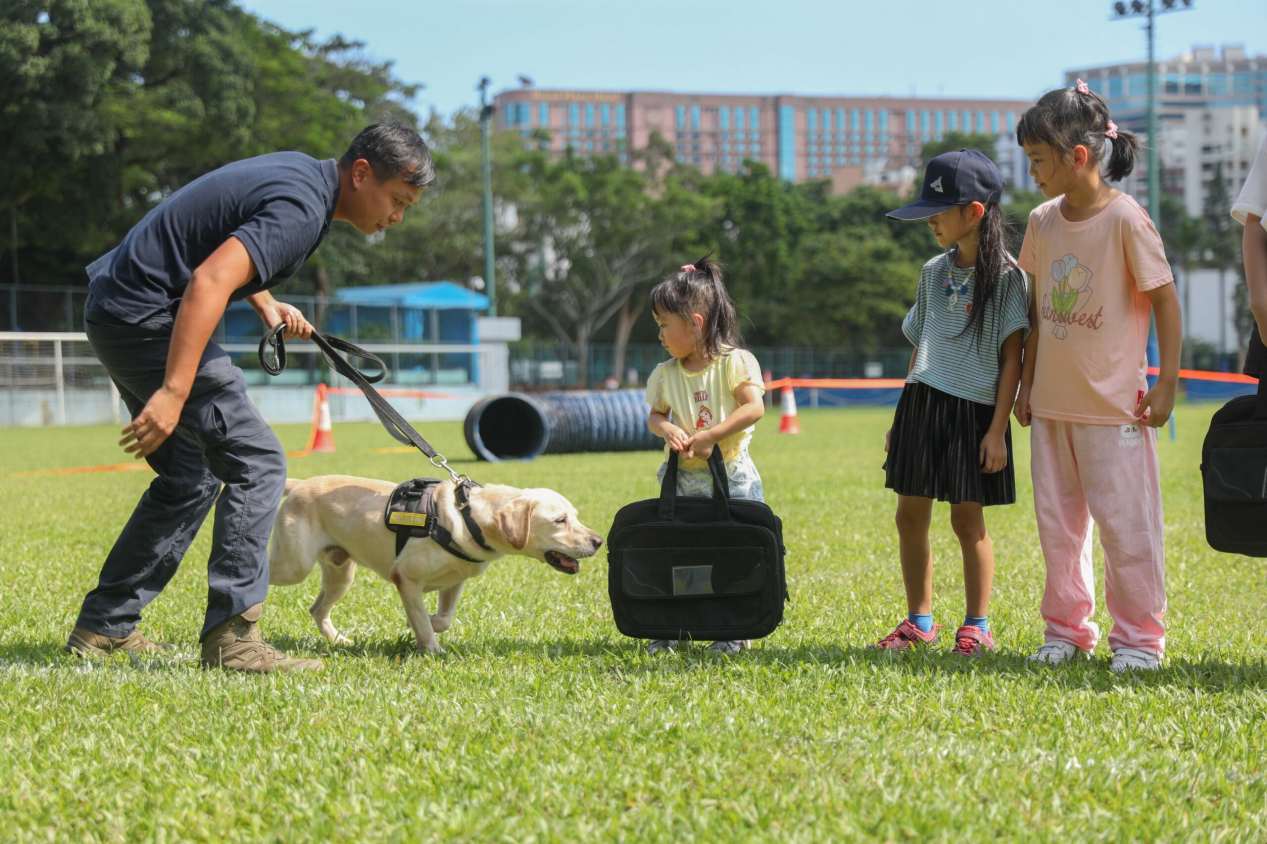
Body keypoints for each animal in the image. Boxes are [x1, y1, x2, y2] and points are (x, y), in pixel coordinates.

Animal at [268, 473, 603, 648]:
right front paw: (431, 649)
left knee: (317, 609)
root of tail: (300, 483)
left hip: (341, 572)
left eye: (575, 516)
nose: (598, 541)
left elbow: (443, 619)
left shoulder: (455, 580)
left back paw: (339, 640)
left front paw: (420, 624)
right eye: (560, 521)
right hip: (294, 566)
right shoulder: (404, 577)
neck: (469, 517)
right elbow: (424, 622)